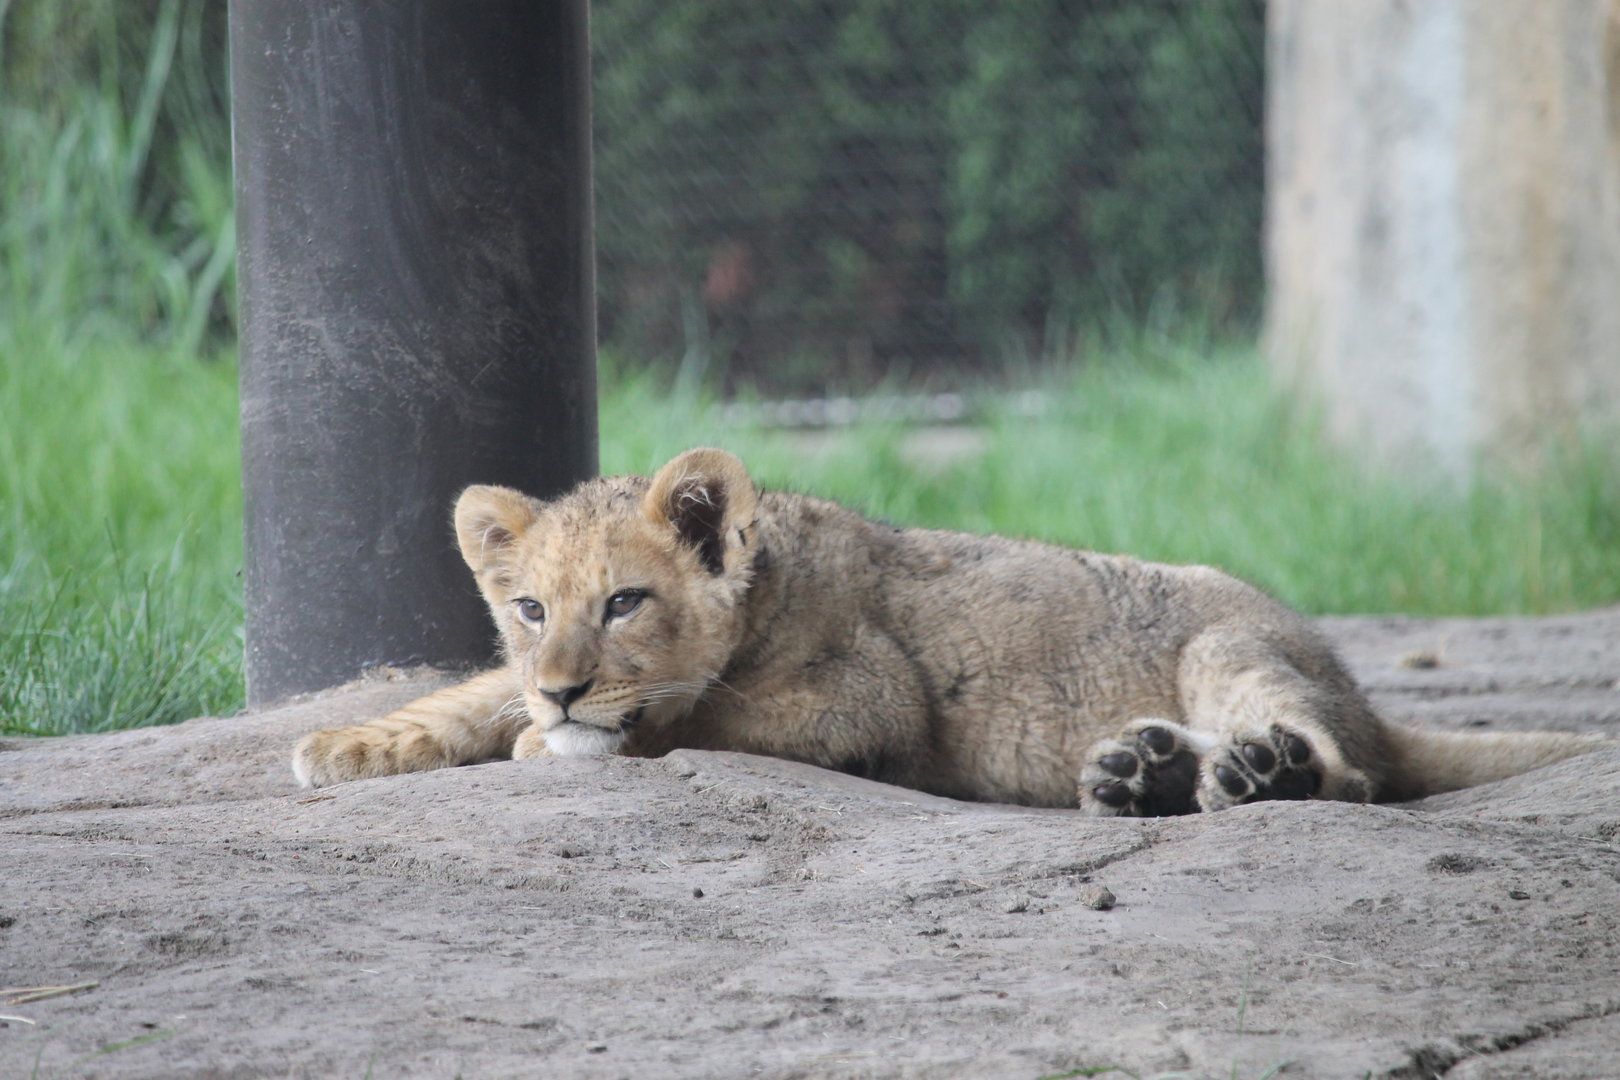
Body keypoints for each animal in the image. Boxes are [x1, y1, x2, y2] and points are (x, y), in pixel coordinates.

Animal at [292, 447, 1607, 814]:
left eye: (625, 604)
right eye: (529, 609)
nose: (564, 688)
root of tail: (1365, 693)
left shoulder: (865, 697)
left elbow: (692, 716)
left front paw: (556, 736)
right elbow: (473, 690)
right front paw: (348, 745)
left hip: (1227, 647)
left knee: (1354, 777)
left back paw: (1261, 771)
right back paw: (1144, 773)